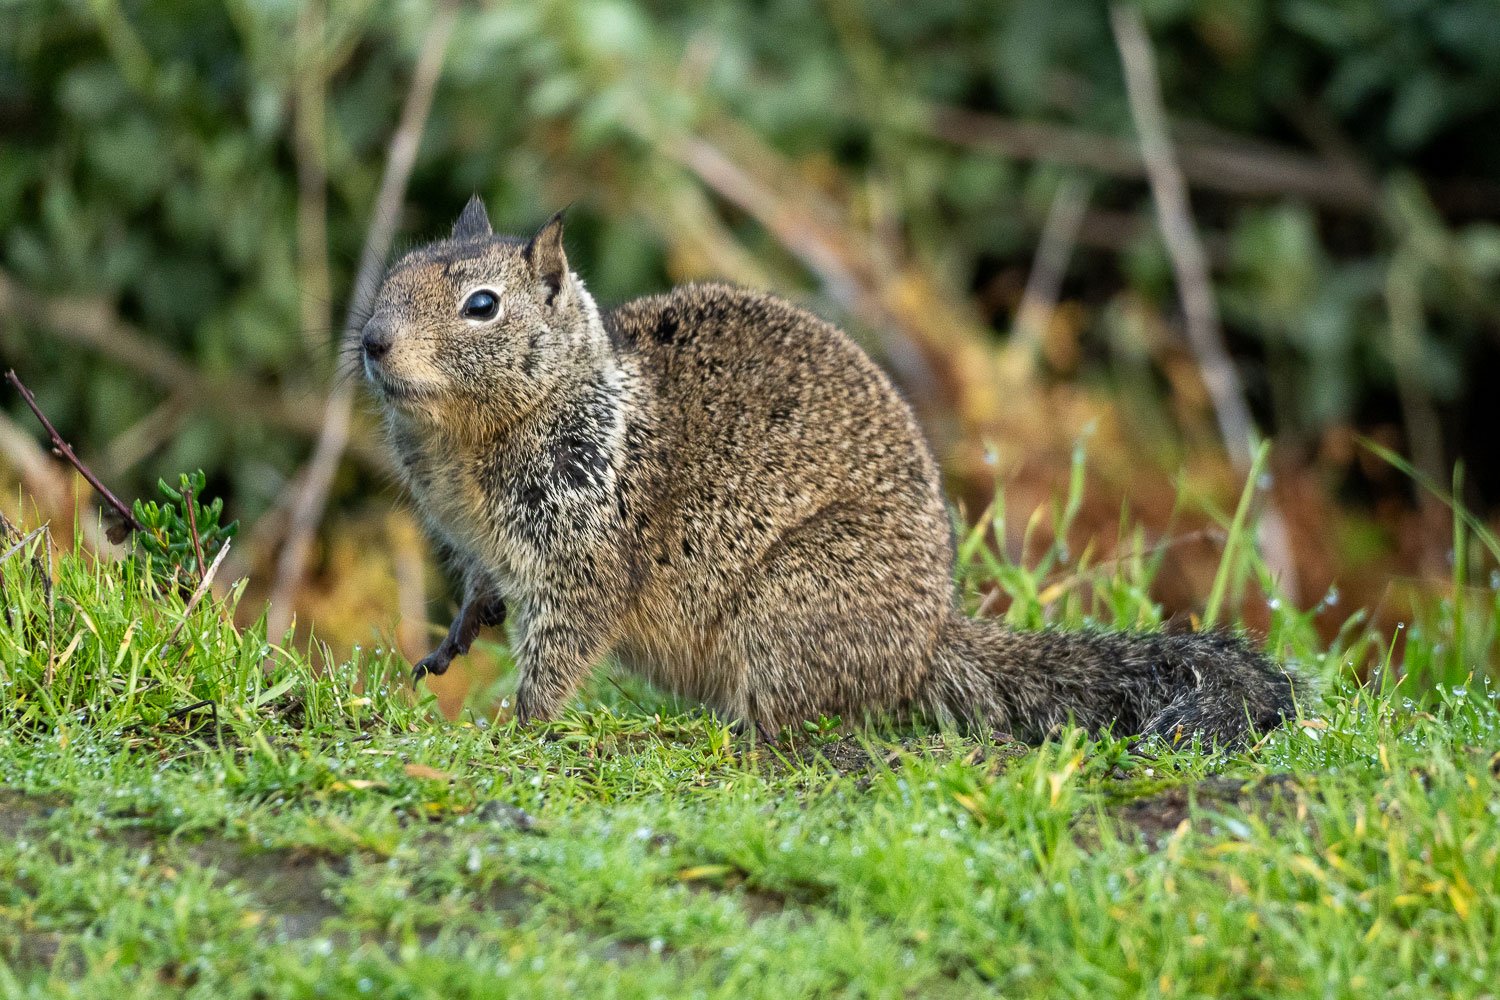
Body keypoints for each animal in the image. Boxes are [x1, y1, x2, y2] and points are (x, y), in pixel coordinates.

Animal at [357, 197, 1296, 743]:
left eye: (483, 305)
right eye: (394, 273)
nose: (370, 341)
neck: (465, 445)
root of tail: (927, 643)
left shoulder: (581, 549)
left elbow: (559, 649)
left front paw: (516, 729)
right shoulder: (478, 540)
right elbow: (482, 587)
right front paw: (452, 640)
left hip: (789, 605)